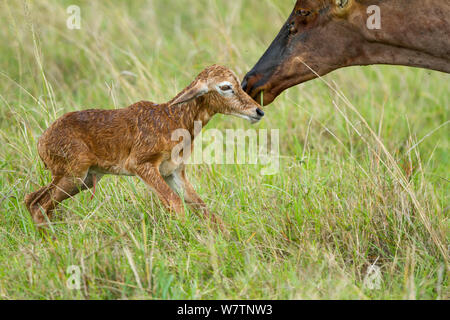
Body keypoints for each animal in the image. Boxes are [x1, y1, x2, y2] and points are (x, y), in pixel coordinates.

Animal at [25, 65, 264, 230]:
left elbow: (203, 207)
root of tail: (42, 140)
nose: (258, 111)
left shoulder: (173, 173)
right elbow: (176, 204)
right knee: (38, 205)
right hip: (73, 176)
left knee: (32, 200)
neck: (172, 118)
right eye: (225, 86)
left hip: (84, 180)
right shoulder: (142, 166)